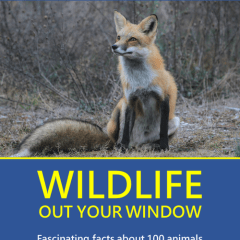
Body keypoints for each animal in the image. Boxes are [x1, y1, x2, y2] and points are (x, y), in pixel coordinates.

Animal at [11, 11, 180, 158]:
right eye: (118, 37)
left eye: (132, 38)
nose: (114, 46)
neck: (141, 81)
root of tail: (139, 142)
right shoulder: (129, 100)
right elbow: (126, 131)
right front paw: (122, 150)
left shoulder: (164, 98)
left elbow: (163, 130)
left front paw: (164, 148)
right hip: (119, 109)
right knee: (120, 139)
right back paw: (122, 147)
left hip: (175, 121)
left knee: (148, 141)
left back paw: (151, 147)